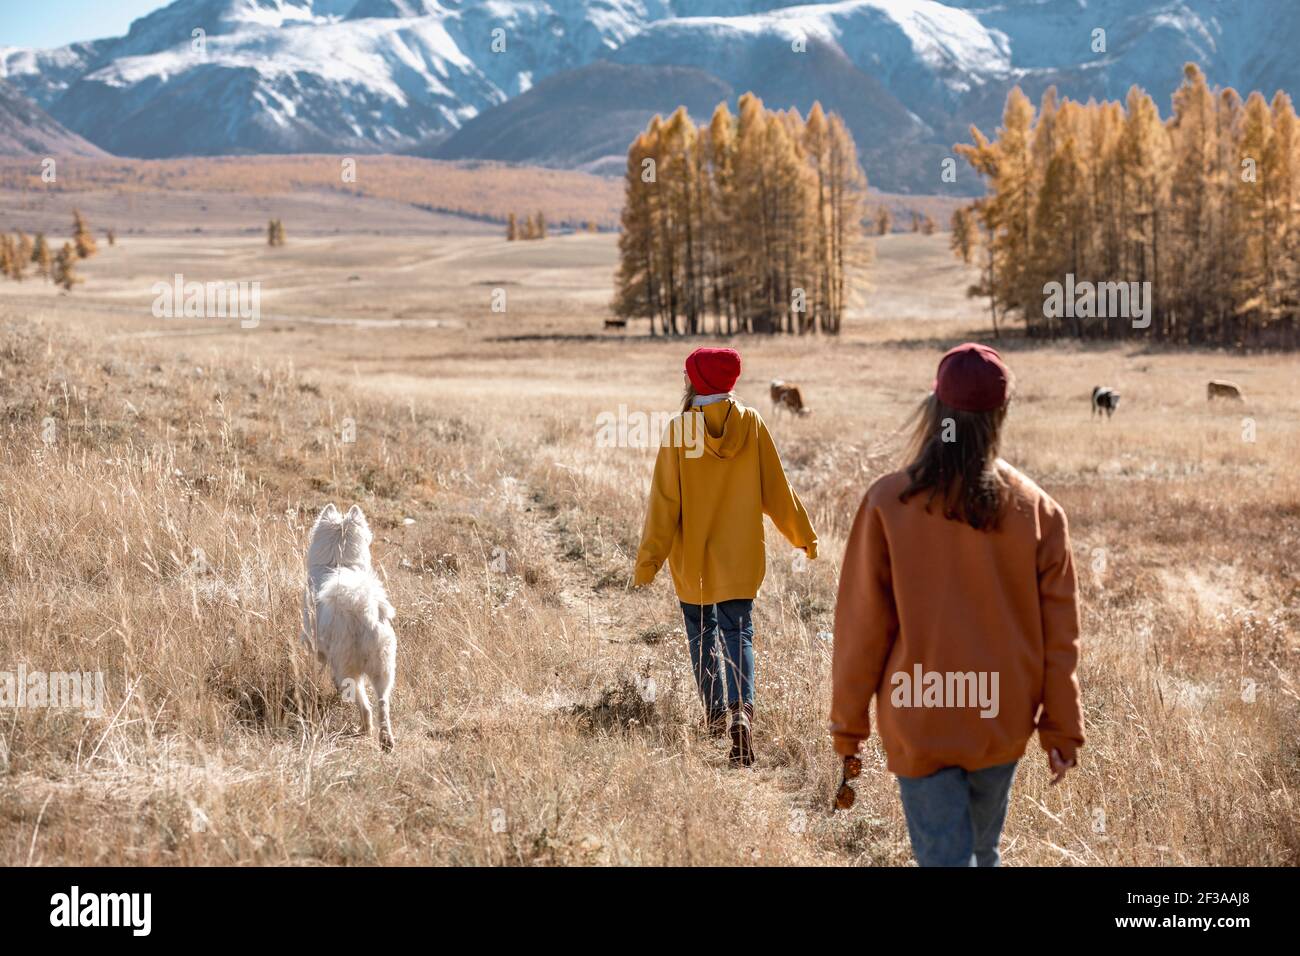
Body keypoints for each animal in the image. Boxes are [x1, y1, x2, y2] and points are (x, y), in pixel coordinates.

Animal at [302, 504, 397, 749]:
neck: (338, 562)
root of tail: (363, 612)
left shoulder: (313, 644)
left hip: (347, 666)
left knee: (364, 704)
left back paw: (364, 728)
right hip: (383, 668)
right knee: (382, 703)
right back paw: (386, 740)